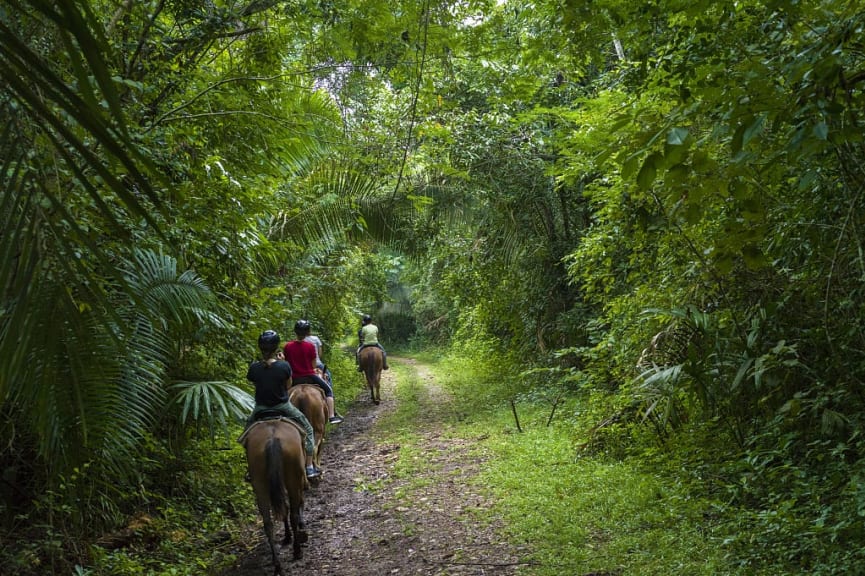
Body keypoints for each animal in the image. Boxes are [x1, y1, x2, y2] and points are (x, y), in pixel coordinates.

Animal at [241, 418, 308, 576]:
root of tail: (272, 439)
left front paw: (287, 536)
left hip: (260, 485)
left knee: (268, 523)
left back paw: (277, 565)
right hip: (293, 479)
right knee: (293, 515)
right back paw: (297, 551)